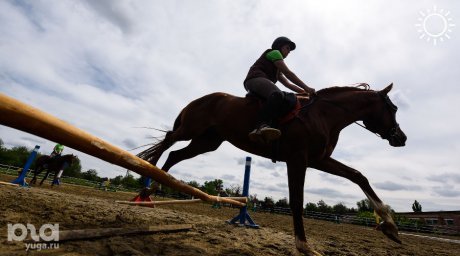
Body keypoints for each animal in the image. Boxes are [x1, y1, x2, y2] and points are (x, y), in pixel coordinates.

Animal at [137, 83, 406, 254]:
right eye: (393, 109)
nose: (401, 138)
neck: (324, 114)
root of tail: (201, 98)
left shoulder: (318, 160)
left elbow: (358, 176)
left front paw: (390, 226)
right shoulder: (297, 159)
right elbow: (296, 200)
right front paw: (303, 245)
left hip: (207, 141)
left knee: (175, 154)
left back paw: (153, 186)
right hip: (191, 129)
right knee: (168, 141)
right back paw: (146, 175)